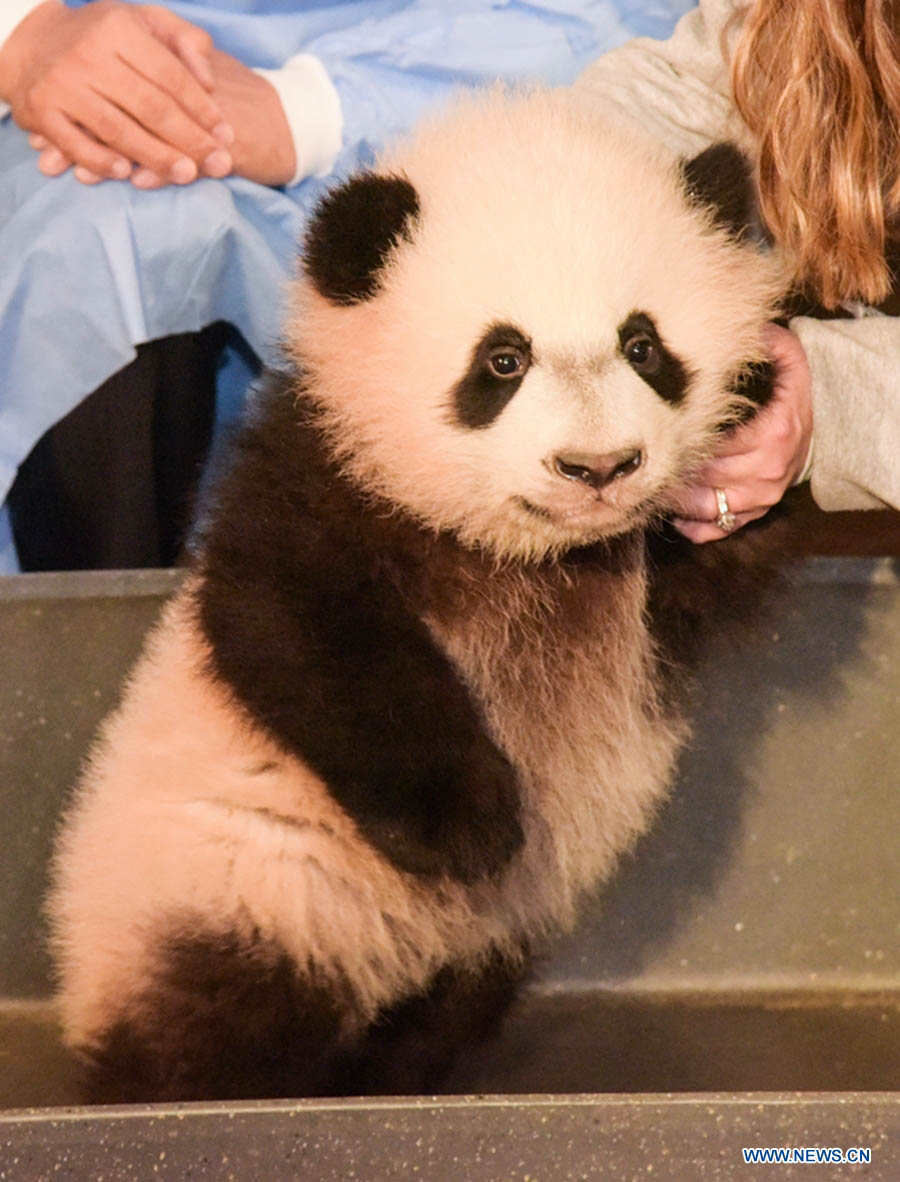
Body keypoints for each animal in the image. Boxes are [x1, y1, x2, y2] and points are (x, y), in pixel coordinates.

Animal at [47, 87, 785, 1103]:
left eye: (644, 345)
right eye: (502, 360)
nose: (598, 468)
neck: (533, 552)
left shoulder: (641, 591)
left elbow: (713, 573)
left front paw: (763, 409)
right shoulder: (324, 477)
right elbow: (304, 632)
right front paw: (468, 826)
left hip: (468, 956)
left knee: (437, 1013)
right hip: (231, 893)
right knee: (210, 1035)